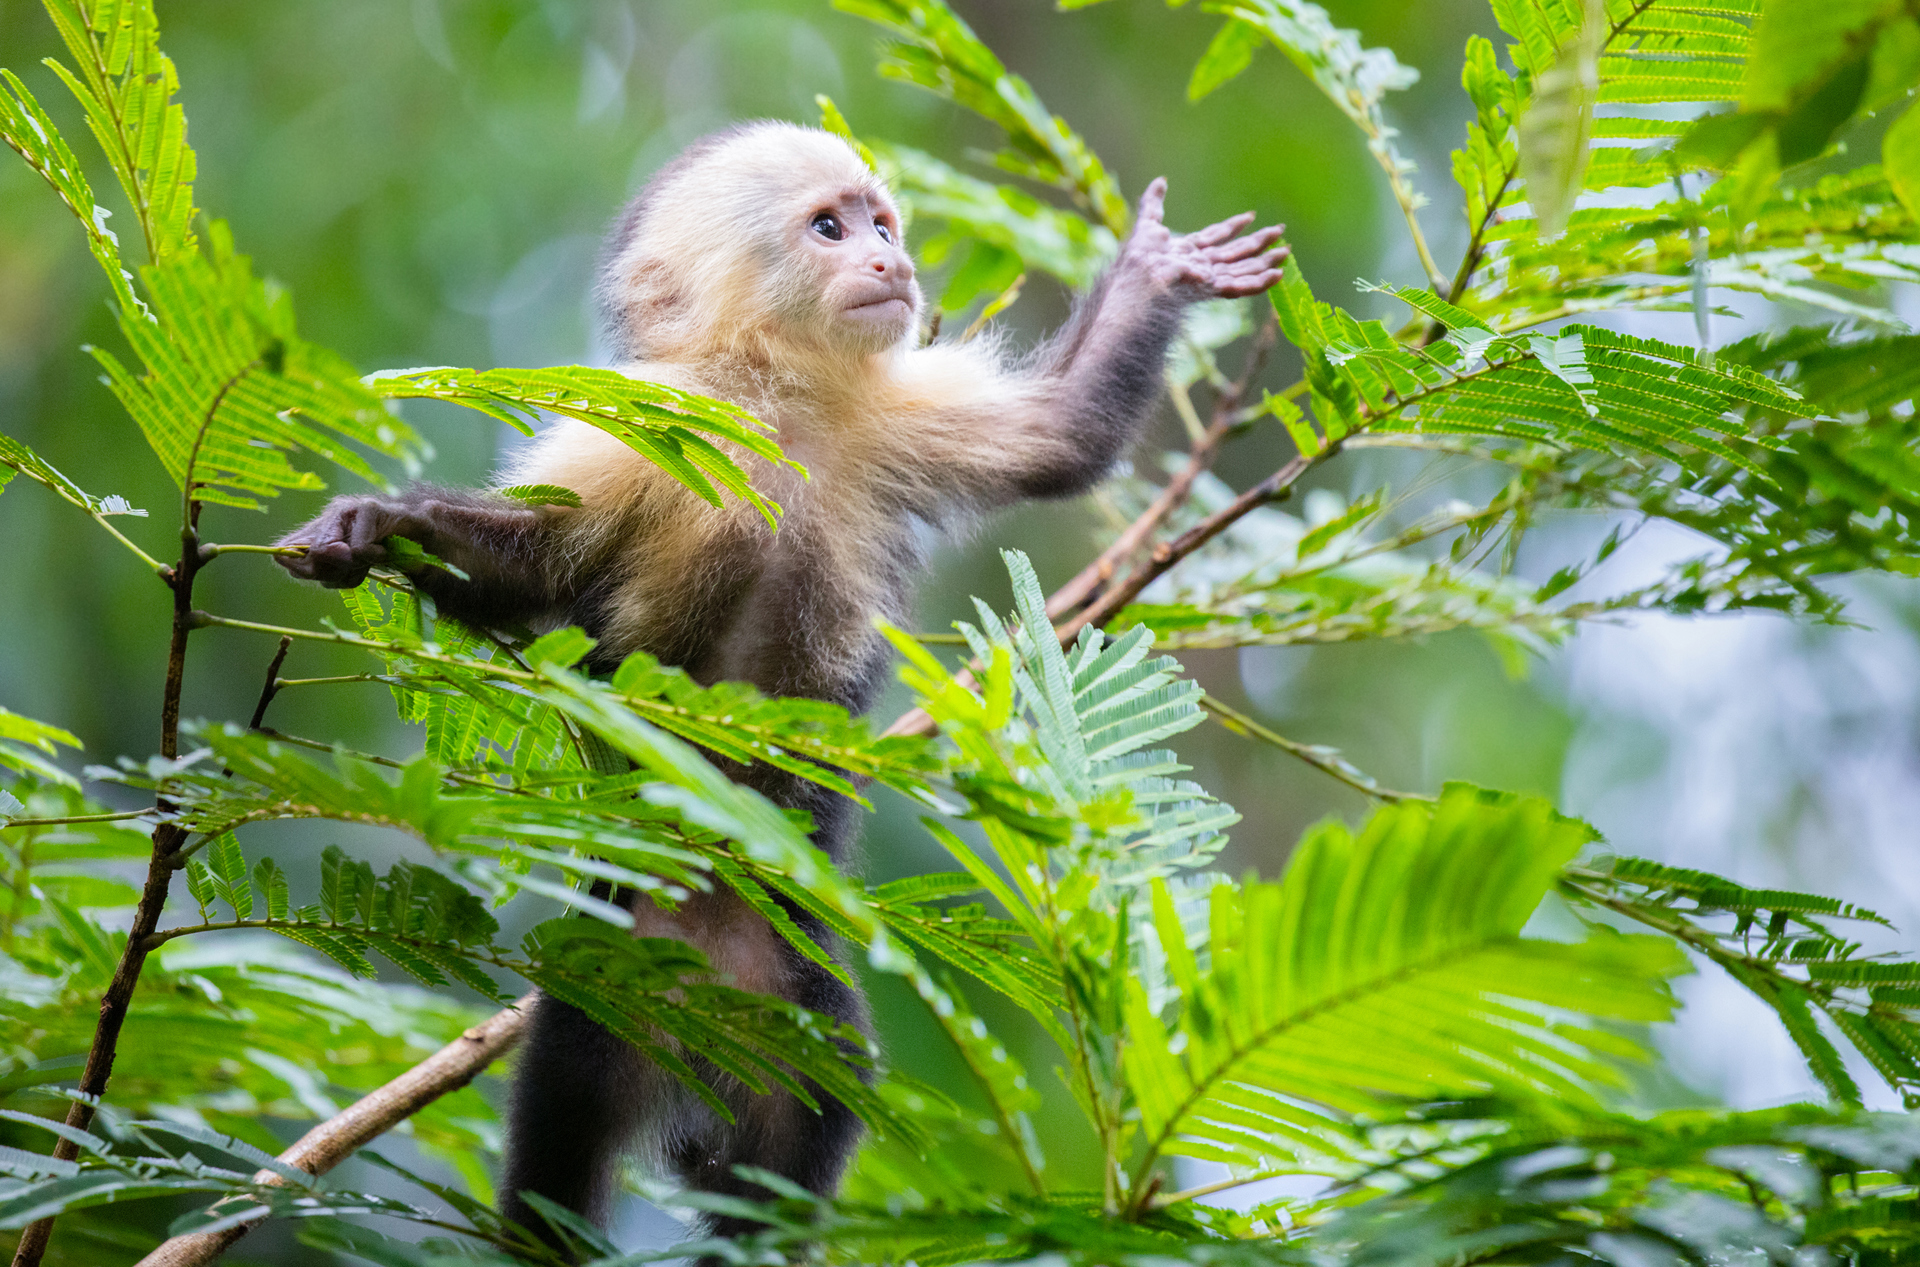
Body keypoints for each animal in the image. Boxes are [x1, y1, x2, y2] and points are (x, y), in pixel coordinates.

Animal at [274, 123, 1290, 1251]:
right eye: (830, 228)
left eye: (882, 223)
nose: (890, 261)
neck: (777, 404)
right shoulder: (647, 428)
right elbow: (531, 573)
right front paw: (380, 528)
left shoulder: (888, 413)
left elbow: (1059, 437)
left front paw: (1158, 267)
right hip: (608, 981)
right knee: (564, 1135)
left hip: (791, 997)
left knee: (802, 1120)